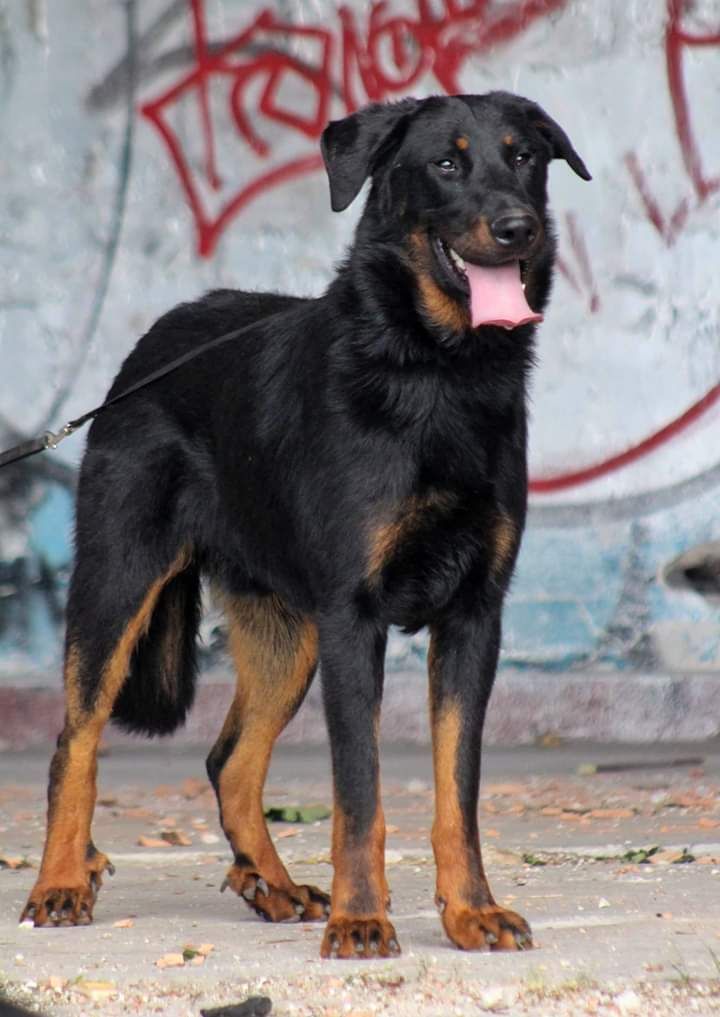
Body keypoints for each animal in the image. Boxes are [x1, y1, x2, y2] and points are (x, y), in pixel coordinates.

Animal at [21, 91, 589, 955]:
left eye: (524, 157)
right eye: (447, 163)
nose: (517, 226)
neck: (434, 372)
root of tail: (151, 345)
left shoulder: (473, 617)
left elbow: (456, 792)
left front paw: (470, 909)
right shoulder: (356, 617)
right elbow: (359, 792)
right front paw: (362, 918)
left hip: (289, 633)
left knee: (230, 760)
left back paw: (273, 883)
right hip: (118, 583)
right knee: (75, 739)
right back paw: (59, 879)